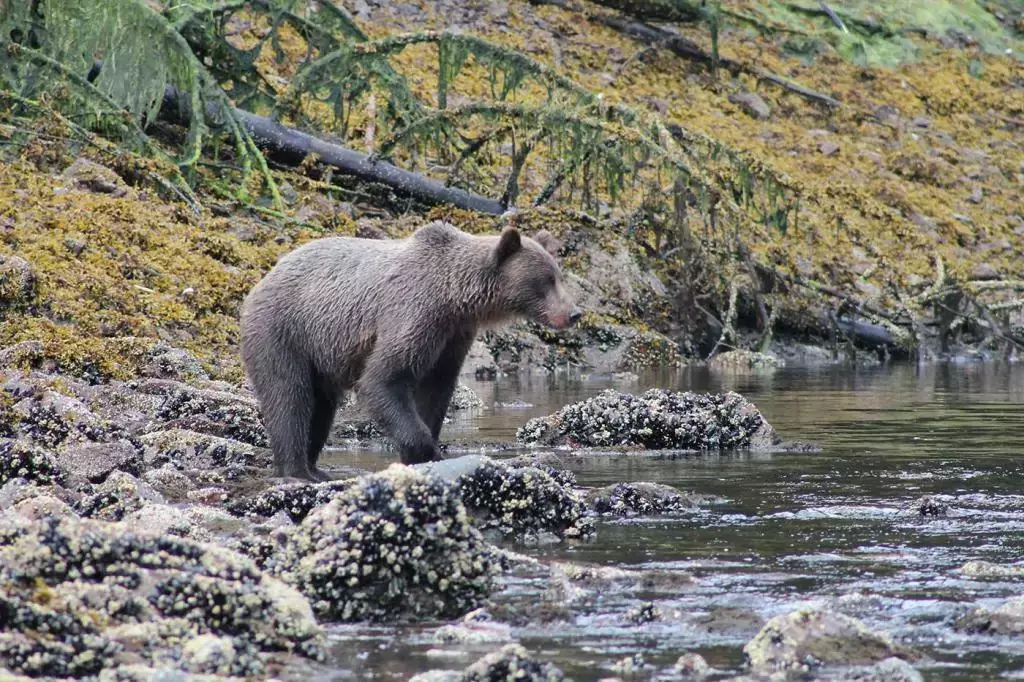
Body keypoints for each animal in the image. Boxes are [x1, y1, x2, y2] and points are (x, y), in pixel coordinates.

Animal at [235, 222, 581, 477]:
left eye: (558, 275)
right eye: (546, 280)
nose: (574, 313)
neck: (454, 296)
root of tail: (264, 277)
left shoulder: (453, 336)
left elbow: (436, 390)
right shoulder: (414, 313)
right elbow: (383, 380)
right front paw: (427, 451)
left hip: (318, 353)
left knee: (322, 405)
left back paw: (314, 467)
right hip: (284, 330)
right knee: (288, 395)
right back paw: (296, 470)